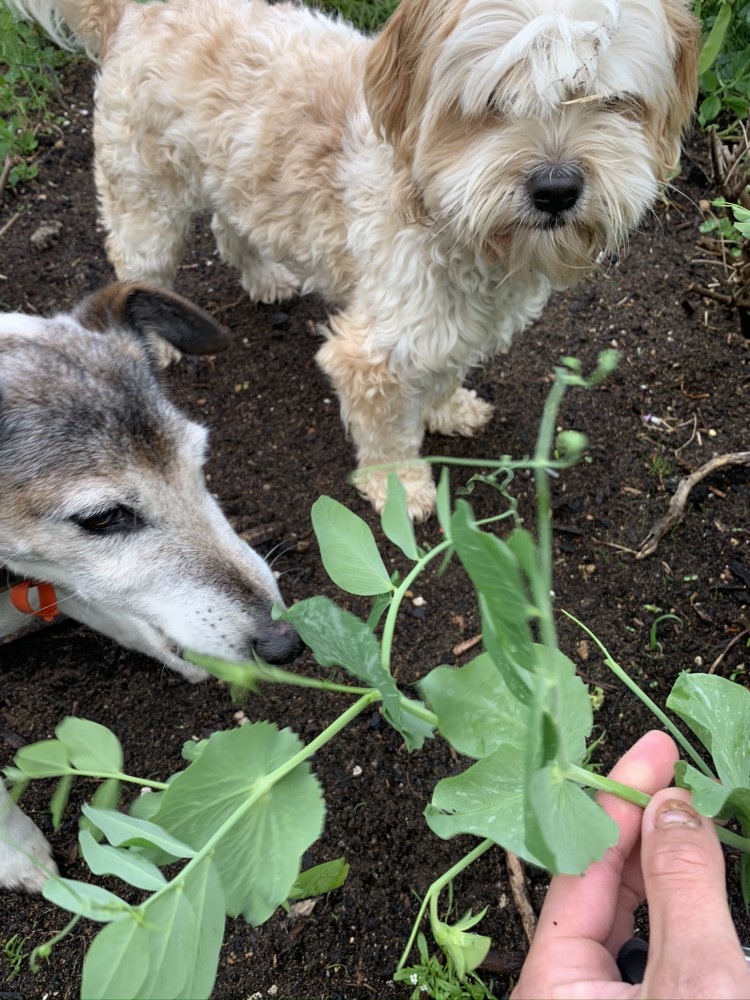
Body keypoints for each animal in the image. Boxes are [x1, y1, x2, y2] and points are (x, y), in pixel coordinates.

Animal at [8, 0, 704, 520]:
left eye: (612, 101)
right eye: (492, 103)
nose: (557, 189)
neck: (448, 216)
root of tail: (138, 10)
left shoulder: (456, 325)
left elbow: (445, 372)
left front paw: (448, 409)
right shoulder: (371, 352)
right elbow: (387, 429)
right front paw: (401, 488)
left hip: (237, 176)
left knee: (232, 228)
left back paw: (265, 278)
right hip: (145, 195)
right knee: (137, 262)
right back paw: (155, 336)